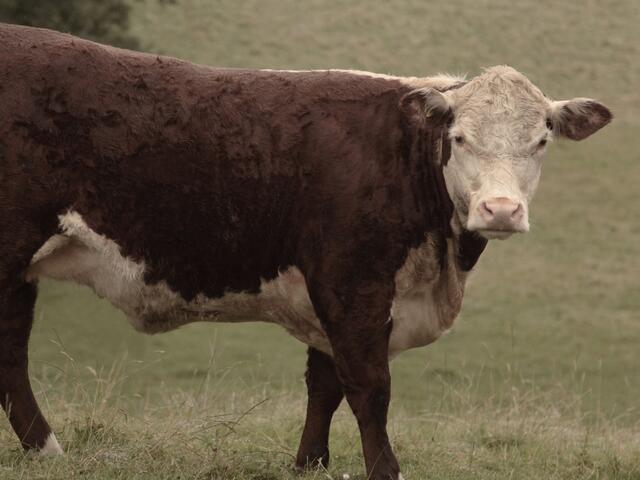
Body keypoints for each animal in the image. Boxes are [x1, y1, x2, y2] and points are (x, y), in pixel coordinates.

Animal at [0, 23, 608, 480]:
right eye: (458, 138)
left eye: (542, 140)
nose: (500, 210)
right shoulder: (352, 282)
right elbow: (368, 386)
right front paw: (385, 470)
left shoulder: (332, 293)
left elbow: (325, 383)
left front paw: (309, 464)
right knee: (11, 355)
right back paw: (48, 448)